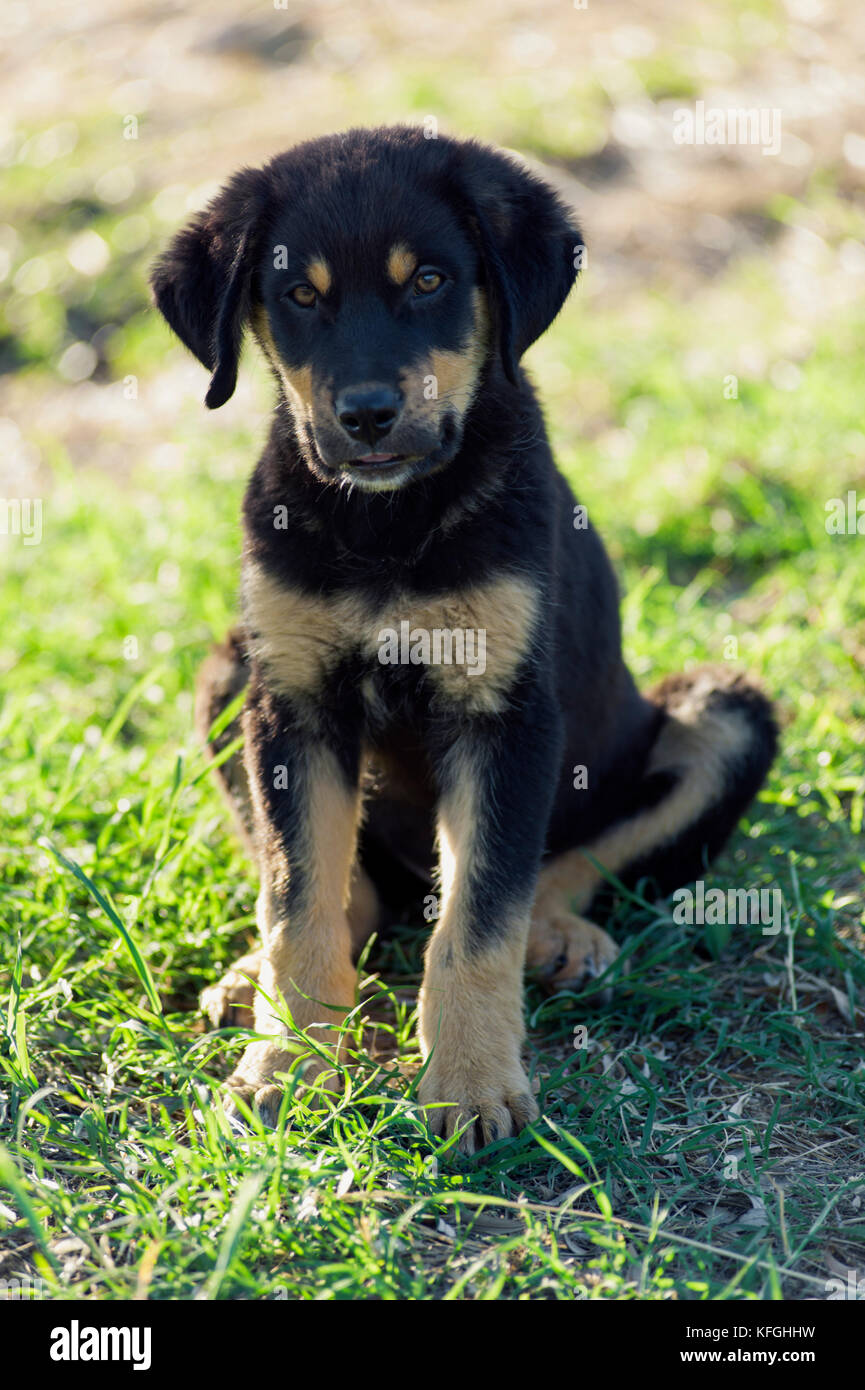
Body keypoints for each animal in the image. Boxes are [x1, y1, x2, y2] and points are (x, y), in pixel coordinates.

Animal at [150, 127, 778, 1150]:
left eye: (431, 281)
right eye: (300, 297)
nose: (367, 414)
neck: (388, 525)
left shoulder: (506, 713)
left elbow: (480, 917)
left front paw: (474, 1085)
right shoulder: (293, 704)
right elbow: (298, 902)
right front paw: (291, 1063)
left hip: (724, 716)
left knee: (564, 867)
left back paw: (562, 939)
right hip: (229, 672)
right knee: (349, 892)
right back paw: (253, 984)